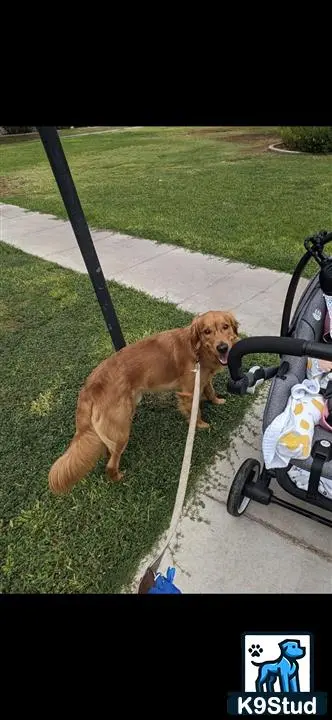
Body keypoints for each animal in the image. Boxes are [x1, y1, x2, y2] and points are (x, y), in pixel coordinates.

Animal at [48, 310, 237, 496]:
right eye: (207, 331)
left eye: (225, 326)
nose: (223, 347)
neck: (197, 349)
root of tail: (89, 387)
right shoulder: (189, 392)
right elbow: (195, 411)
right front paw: (201, 425)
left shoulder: (203, 378)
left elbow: (210, 390)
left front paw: (217, 401)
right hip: (122, 428)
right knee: (110, 464)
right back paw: (118, 477)